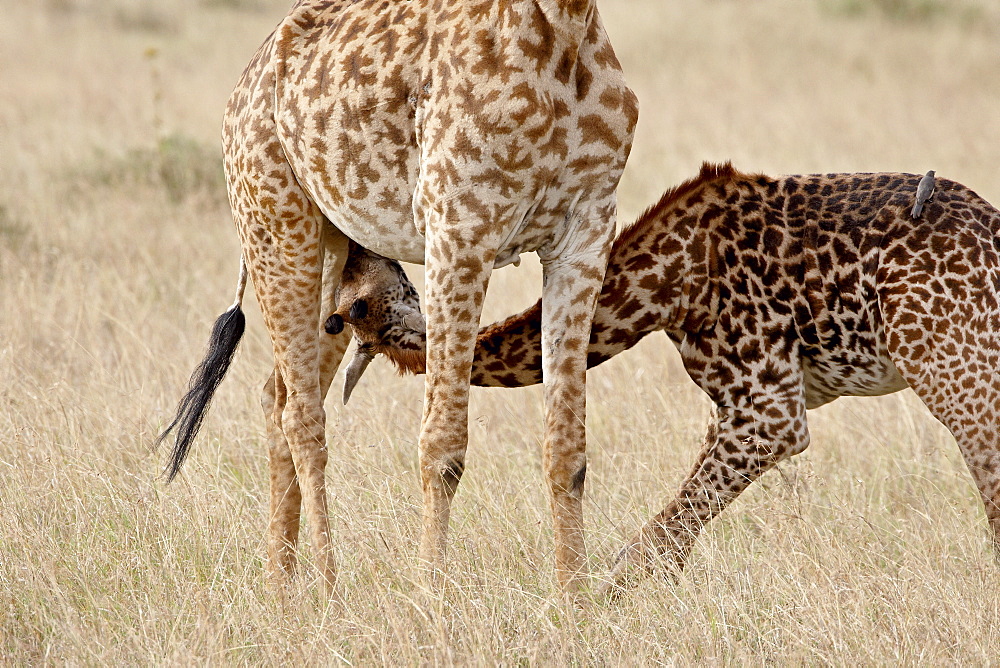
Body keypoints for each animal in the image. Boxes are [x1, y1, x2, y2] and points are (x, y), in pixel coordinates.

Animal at [158, 0, 640, 596]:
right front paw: (432, 600)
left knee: (278, 395)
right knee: (301, 414)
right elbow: (443, 447)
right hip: (277, 228)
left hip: (333, 256)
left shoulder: (586, 235)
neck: (565, 27)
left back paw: (282, 591)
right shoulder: (460, 231)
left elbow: (568, 449)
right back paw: (328, 590)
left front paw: (575, 605)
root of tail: (246, 82)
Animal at [336, 163, 1000, 596]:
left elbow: (654, 540)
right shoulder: (739, 406)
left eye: (353, 299)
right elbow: (672, 534)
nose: (355, 241)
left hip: (950, 367)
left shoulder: (769, 409)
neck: (664, 286)